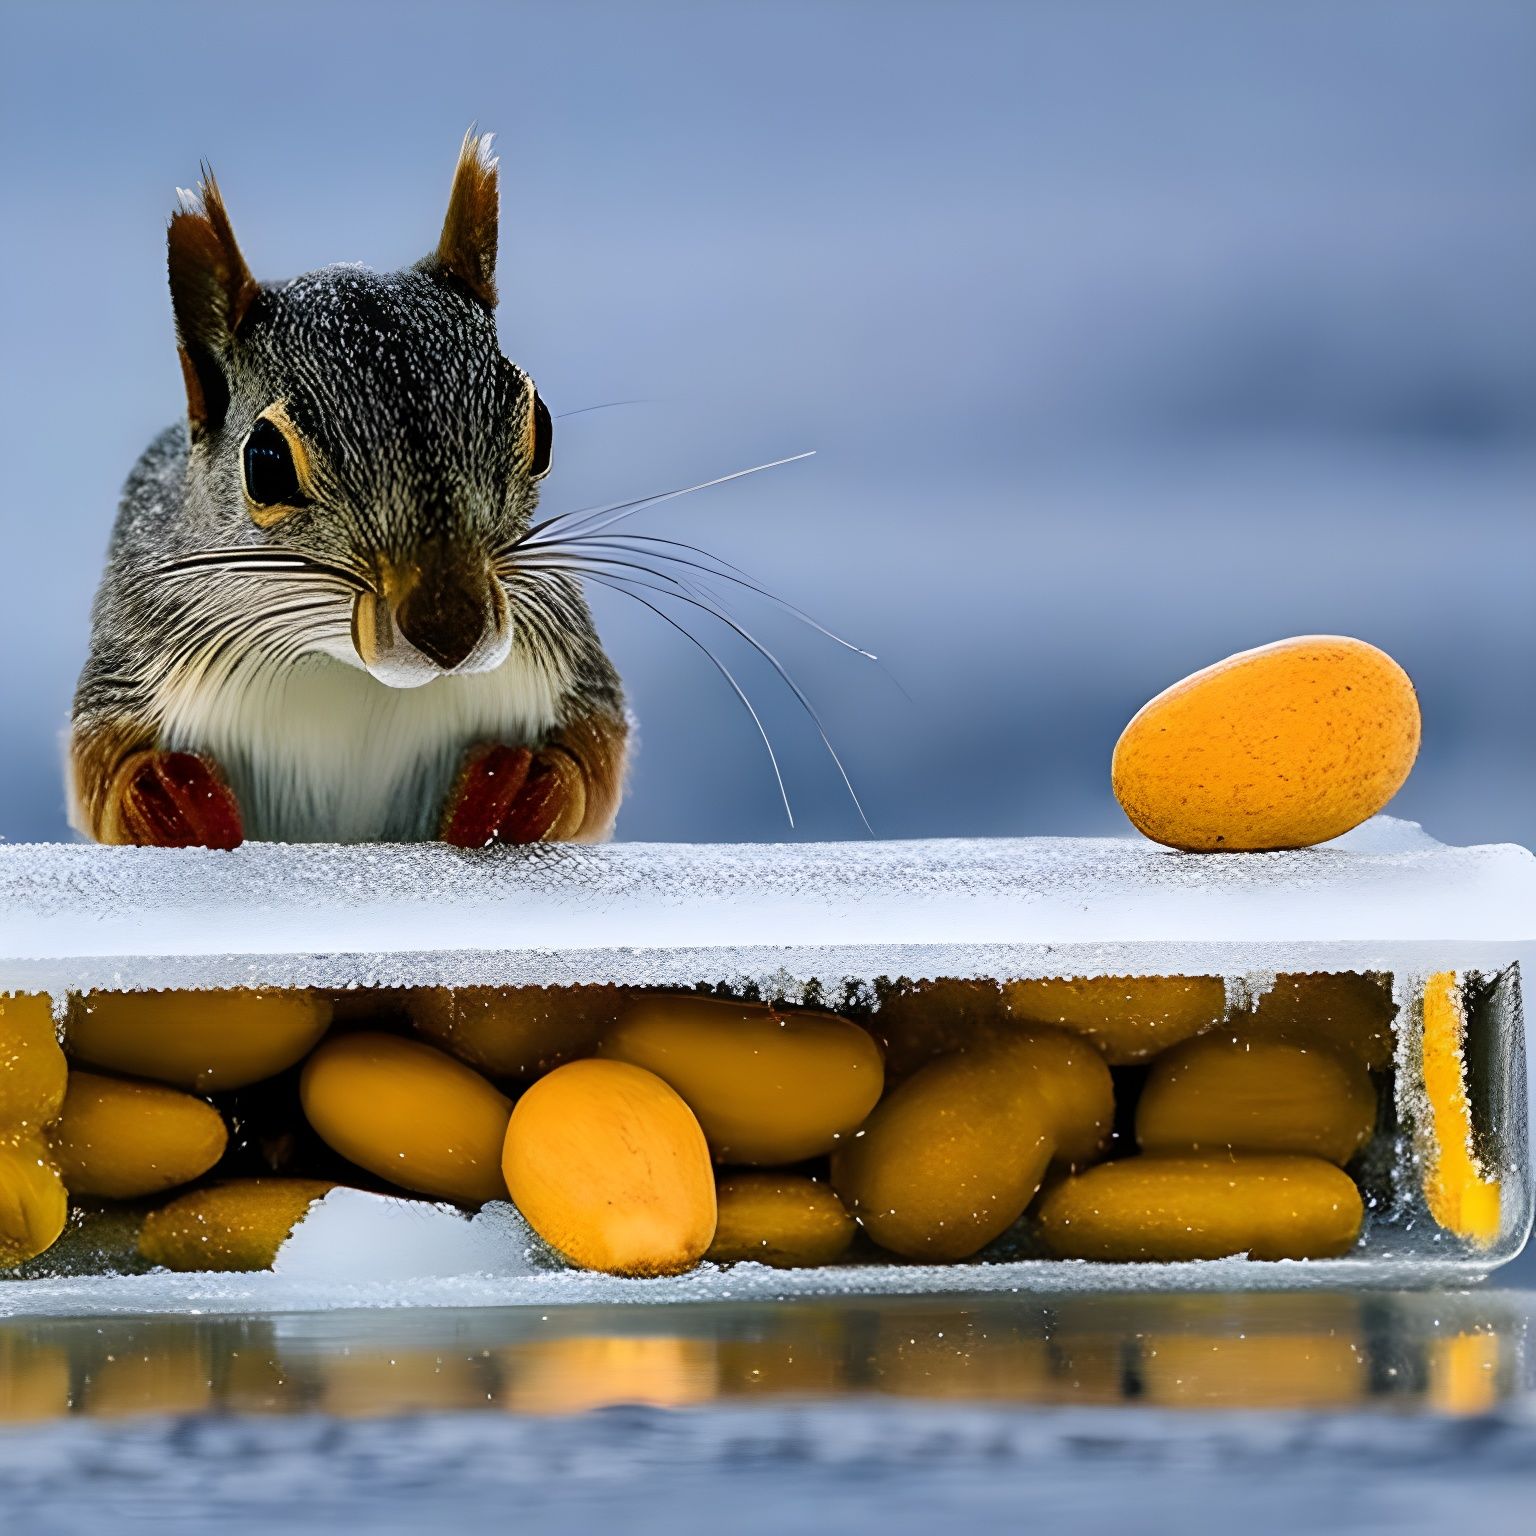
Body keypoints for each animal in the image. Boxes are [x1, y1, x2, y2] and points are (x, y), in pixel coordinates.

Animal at [69, 133, 628, 850]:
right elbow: (102, 765)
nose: (451, 631)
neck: (335, 663)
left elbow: (595, 745)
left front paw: (522, 781)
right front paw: (167, 796)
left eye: (543, 426)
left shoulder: (566, 653)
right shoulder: (131, 653)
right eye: (265, 462)